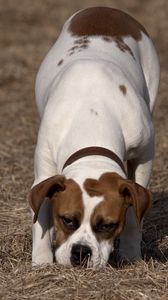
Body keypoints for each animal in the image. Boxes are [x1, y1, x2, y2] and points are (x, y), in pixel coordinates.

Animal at [29, 7, 159, 266]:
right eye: (67, 220)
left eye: (107, 225)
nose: (81, 252)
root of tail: (105, 9)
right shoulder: (44, 174)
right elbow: (41, 218)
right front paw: (41, 261)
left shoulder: (144, 157)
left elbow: (134, 217)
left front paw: (130, 254)